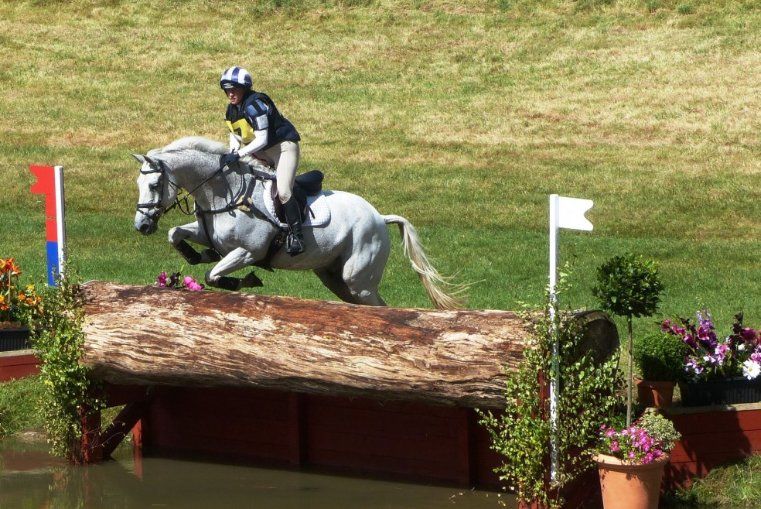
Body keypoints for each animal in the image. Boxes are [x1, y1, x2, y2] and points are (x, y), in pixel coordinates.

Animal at [132, 136, 462, 309]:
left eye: (154, 185)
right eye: (138, 184)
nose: (141, 227)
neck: (225, 191)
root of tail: (380, 217)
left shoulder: (249, 252)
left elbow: (213, 275)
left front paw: (246, 281)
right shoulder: (207, 232)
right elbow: (176, 234)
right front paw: (195, 255)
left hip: (358, 278)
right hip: (334, 277)